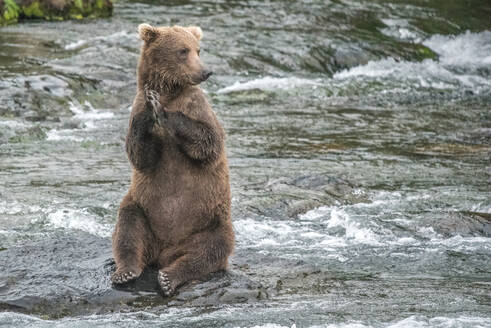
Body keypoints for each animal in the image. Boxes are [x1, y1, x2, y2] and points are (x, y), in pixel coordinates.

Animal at [111, 21, 234, 296]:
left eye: (198, 49)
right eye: (182, 51)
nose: (206, 71)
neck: (169, 90)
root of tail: (165, 251)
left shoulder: (197, 106)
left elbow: (209, 142)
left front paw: (162, 112)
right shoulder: (136, 108)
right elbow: (141, 155)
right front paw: (151, 110)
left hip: (210, 221)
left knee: (210, 249)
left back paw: (170, 277)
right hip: (143, 209)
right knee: (128, 229)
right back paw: (126, 272)